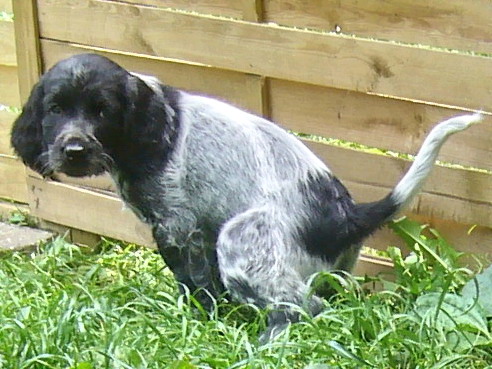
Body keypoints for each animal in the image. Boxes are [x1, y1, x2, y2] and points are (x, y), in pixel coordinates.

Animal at [9, 53, 482, 340]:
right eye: (55, 109)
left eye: (102, 111)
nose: (73, 150)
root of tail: (348, 216)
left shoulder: (178, 227)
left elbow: (195, 285)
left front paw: (199, 323)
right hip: (333, 269)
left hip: (241, 239)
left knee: (304, 306)